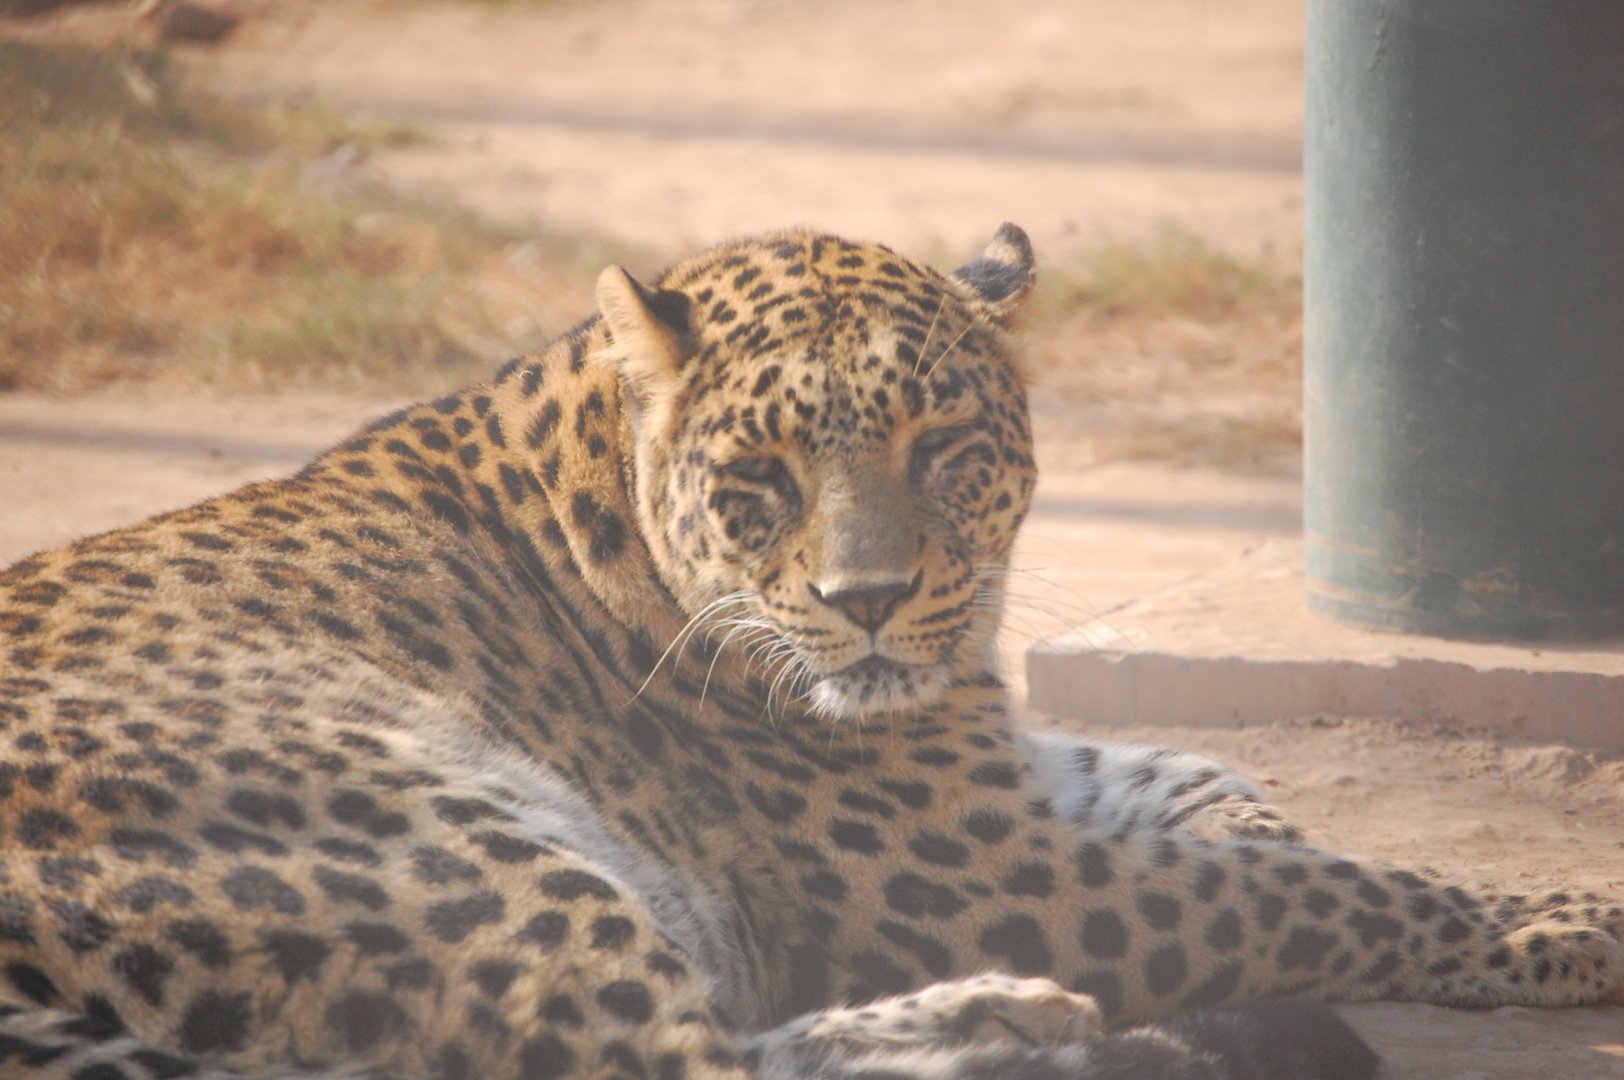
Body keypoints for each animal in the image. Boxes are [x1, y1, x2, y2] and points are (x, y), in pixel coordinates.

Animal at [0, 224, 1619, 1080]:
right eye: (760, 477)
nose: (869, 599)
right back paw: (1012, 1027)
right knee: (673, 1063)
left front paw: (1260, 825)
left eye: (943, 446)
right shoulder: (1003, 870)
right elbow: (1325, 892)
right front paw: (1565, 920)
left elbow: (1225, 801)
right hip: (438, 842)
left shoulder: (1005, 784)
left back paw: (1004, 1017)